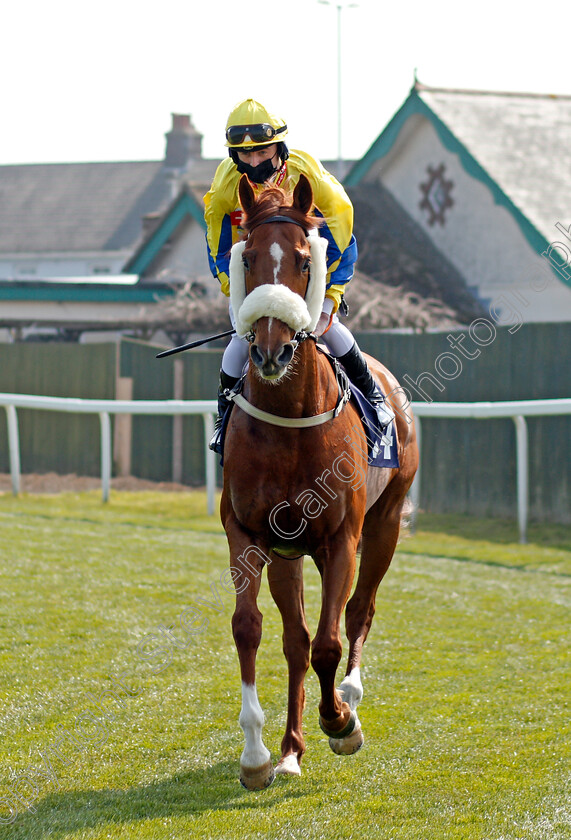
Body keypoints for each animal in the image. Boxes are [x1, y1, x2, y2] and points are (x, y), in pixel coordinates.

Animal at [221, 174, 418, 792]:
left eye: (306, 260)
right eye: (248, 258)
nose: (269, 350)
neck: (289, 421)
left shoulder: (341, 539)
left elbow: (331, 641)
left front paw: (341, 723)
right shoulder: (248, 533)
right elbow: (251, 628)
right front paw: (258, 755)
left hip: (384, 525)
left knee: (359, 612)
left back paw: (349, 698)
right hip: (288, 551)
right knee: (295, 640)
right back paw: (290, 748)